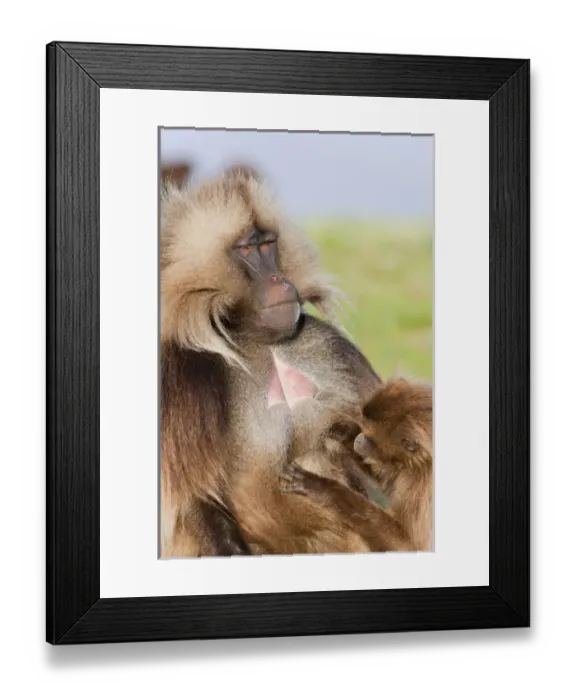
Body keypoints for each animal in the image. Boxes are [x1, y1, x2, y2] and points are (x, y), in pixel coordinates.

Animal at [160, 164, 383, 558]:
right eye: (246, 249)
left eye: (268, 244)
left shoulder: (330, 347)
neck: (262, 343)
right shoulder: (182, 376)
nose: (278, 278)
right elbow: (195, 499)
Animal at [279, 378, 433, 552]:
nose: (359, 439)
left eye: (370, 439)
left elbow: (407, 546)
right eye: (364, 428)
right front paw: (344, 431)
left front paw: (322, 487)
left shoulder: (422, 483)